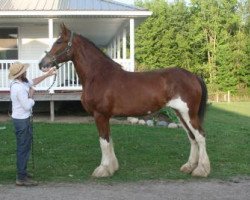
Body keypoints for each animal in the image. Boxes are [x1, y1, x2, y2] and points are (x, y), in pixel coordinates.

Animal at [39, 23, 211, 178]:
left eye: (59, 42)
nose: (42, 64)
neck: (99, 76)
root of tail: (193, 76)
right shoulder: (105, 117)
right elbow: (109, 140)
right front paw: (112, 167)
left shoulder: (100, 115)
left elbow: (103, 141)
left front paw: (103, 170)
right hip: (180, 113)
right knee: (192, 137)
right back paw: (189, 166)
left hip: (188, 114)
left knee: (200, 136)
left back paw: (201, 170)